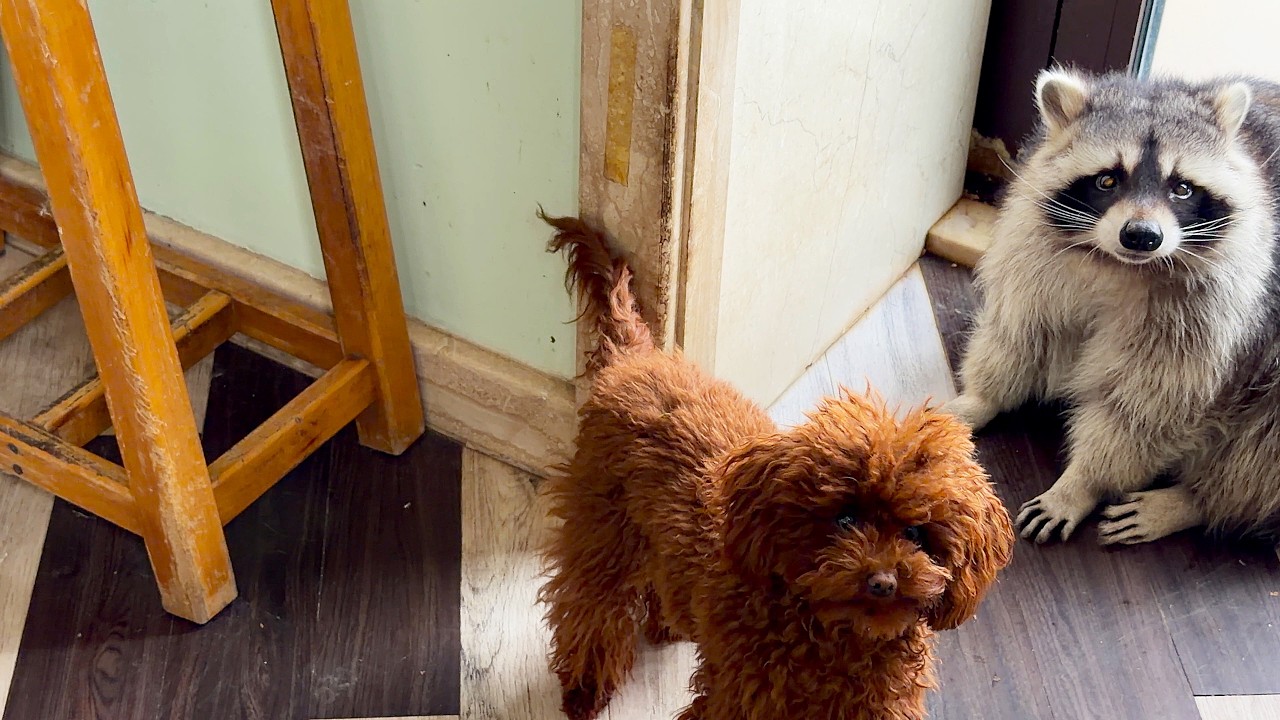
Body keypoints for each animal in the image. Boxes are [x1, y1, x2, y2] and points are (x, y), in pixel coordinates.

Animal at [947, 67, 1280, 548]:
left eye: (1182, 189)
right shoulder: (1035, 251)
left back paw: (1194, 502)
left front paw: (1081, 483)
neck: (1119, 266)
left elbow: (1145, 408)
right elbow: (1021, 331)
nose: (1142, 236)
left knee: (1261, 448)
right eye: (1108, 180)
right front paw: (982, 397)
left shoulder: (1221, 309)